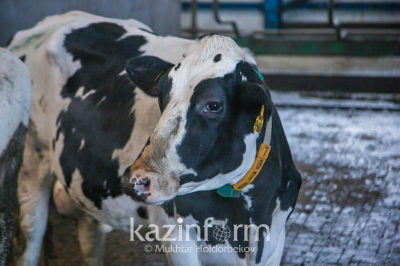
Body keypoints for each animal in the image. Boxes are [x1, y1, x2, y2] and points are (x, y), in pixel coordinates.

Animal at [8, 10, 300, 266]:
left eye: (213, 105)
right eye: (162, 94)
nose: (135, 180)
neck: (241, 210)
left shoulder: (274, 239)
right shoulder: (178, 237)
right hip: (32, 162)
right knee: (31, 238)